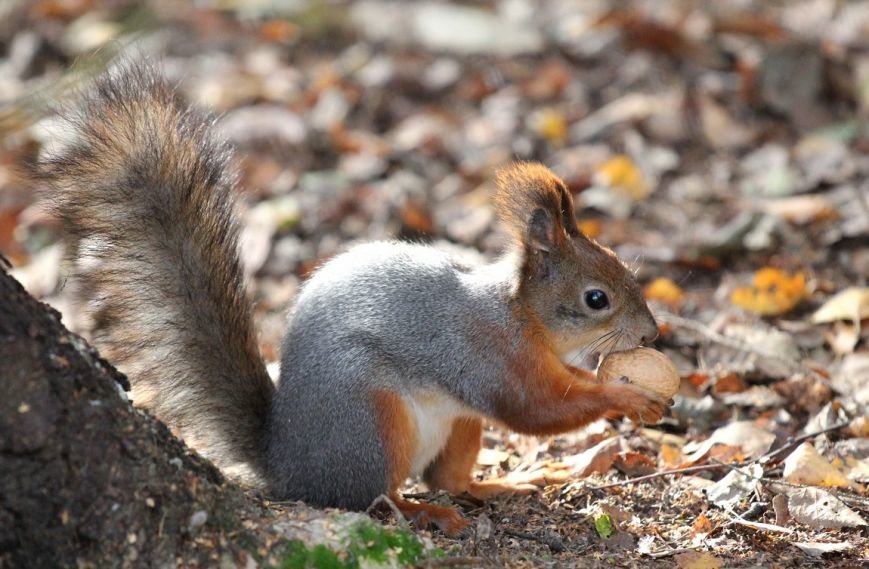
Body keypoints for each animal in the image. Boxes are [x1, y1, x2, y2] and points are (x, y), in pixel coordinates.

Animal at [32, 64, 656, 536]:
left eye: (626, 269)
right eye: (596, 298)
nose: (652, 334)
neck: (521, 315)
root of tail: (290, 465)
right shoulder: (488, 355)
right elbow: (536, 410)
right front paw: (626, 396)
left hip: (456, 424)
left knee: (448, 479)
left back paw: (504, 483)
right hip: (372, 421)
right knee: (370, 498)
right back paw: (421, 512)